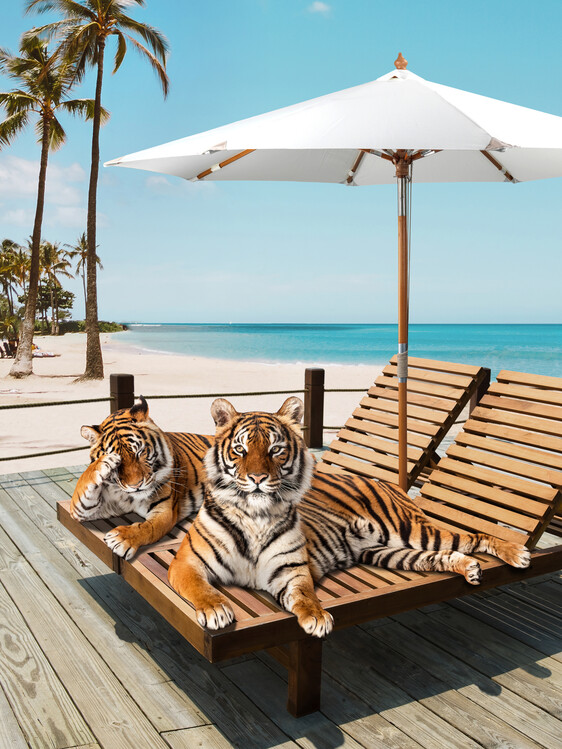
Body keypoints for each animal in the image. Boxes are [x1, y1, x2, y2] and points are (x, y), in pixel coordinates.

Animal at [71, 396, 213, 560]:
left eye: (139, 452)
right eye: (118, 463)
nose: (136, 486)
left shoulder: (164, 511)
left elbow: (147, 528)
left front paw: (121, 538)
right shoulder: (91, 508)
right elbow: (83, 485)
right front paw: (105, 461)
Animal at [168, 396, 531, 637]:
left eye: (276, 449)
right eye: (240, 450)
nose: (257, 478)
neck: (255, 516)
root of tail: (388, 483)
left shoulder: (292, 570)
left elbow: (305, 595)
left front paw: (317, 617)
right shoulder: (187, 563)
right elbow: (201, 588)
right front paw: (216, 610)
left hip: (411, 531)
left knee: (472, 537)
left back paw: (517, 553)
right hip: (388, 552)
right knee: (441, 556)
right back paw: (468, 568)